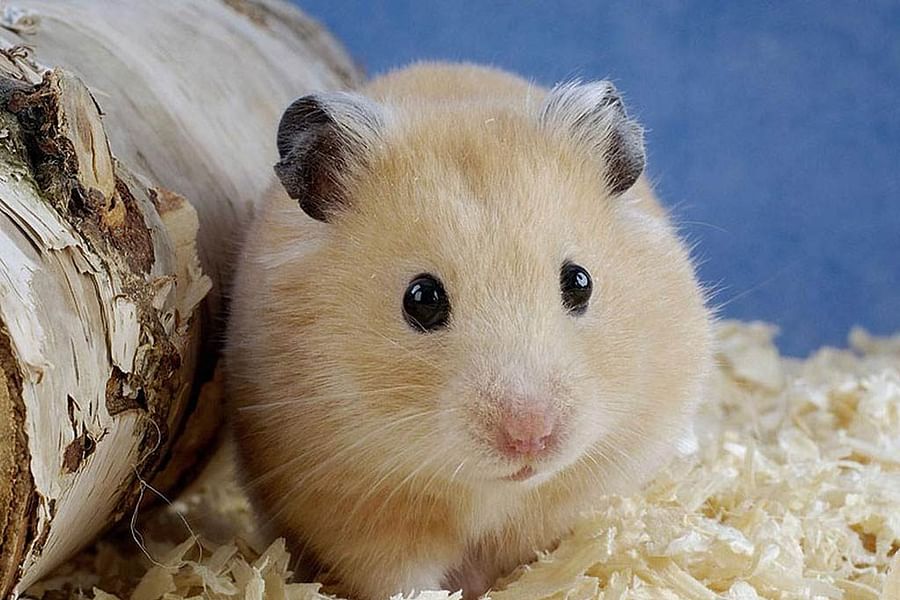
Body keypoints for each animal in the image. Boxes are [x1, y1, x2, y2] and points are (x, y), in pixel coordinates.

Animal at [225, 62, 712, 599]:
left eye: (580, 282)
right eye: (421, 298)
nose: (530, 438)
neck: (488, 489)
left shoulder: (580, 489)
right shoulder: (351, 506)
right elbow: (400, 576)